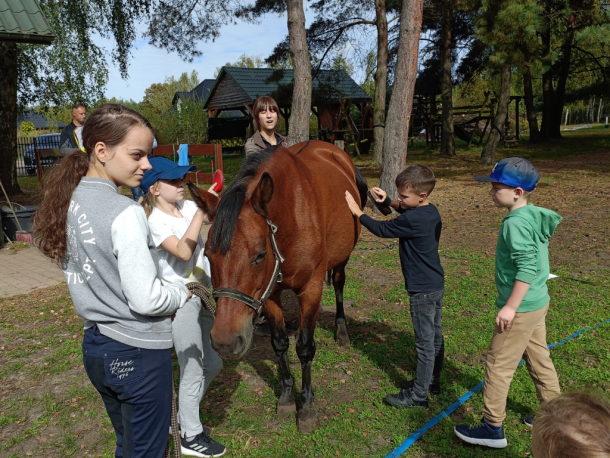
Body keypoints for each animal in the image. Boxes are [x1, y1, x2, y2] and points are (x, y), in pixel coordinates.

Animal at [185, 140, 366, 432]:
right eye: (208, 255)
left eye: (260, 255)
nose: (225, 342)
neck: (292, 217)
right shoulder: (268, 295)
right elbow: (280, 344)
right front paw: (287, 397)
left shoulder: (311, 289)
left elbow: (305, 348)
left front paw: (307, 406)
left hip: (341, 259)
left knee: (339, 285)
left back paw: (341, 330)